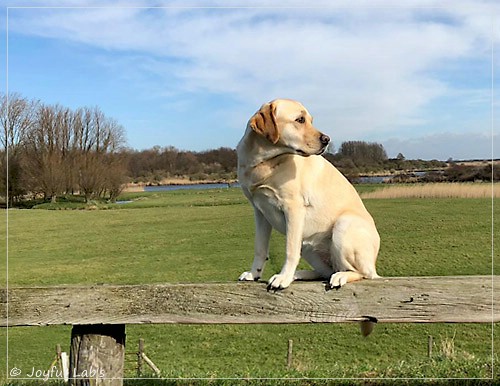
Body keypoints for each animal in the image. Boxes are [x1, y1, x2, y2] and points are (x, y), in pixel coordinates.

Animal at [237, 99, 378, 290]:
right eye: (300, 120)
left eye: (310, 120)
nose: (326, 140)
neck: (263, 162)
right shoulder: (260, 212)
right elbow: (260, 248)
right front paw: (253, 274)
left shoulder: (293, 208)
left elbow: (290, 250)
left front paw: (283, 278)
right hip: (307, 244)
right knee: (326, 272)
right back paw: (300, 274)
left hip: (343, 225)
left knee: (361, 273)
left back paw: (339, 276)